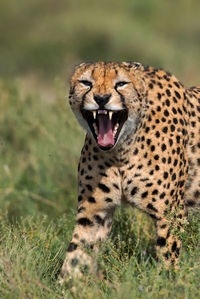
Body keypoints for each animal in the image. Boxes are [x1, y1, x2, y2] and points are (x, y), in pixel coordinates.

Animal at [60, 62, 200, 282]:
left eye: (121, 84)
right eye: (86, 82)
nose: (101, 99)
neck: (121, 152)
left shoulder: (170, 213)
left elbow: (168, 256)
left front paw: (168, 283)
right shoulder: (94, 212)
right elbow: (77, 253)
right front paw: (65, 285)